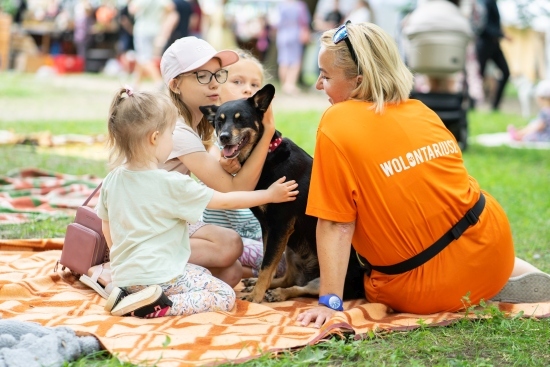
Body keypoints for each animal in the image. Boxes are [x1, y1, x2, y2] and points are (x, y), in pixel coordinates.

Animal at [199, 85, 366, 304]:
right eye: (219, 121)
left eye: (240, 119)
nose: (223, 137)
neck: (265, 156)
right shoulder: (269, 228)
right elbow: (267, 265)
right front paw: (258, 289)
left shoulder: (280, 226)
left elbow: (267, 265)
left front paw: (256, 296)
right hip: (290, 250)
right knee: (289, 278)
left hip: (327, 276)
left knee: (302, 288)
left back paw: (279, 294)